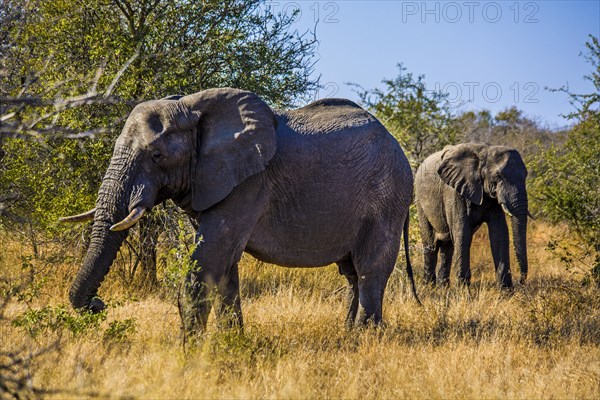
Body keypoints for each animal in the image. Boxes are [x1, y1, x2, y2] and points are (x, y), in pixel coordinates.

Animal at [61, 88, 418, 332]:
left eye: (156, 156)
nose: (98, 304)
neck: (193, 107)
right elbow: (224, 266)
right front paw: (231, 341)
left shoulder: (248, 184)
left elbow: (211, 258)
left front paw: (192, 354)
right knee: (352, 273)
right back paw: (347, 333)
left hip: (387, 197)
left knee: (370, 269)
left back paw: (365, 337)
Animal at [414, 143, 528, 288]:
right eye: (498, 176)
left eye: (526, 176)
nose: (521, 281)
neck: (484, 151)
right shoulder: (454, 191)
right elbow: (462, 232)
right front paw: (463, 288)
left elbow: (499, 233)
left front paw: (506, 289)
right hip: (420, 202)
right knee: (431, 244)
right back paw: (429, 286)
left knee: (447, 245)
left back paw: (443, 287)